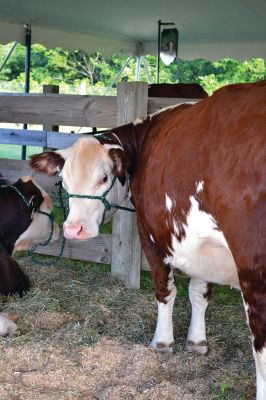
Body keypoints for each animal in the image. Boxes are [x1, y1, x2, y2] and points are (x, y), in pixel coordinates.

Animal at [30, 81, 266, 400]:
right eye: (64, 181)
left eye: (104, 178)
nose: (73, 229)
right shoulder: (200, 243)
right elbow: (199, 292)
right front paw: (197, 341)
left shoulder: (151, 233)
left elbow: (165, 290)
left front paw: (162, 342)